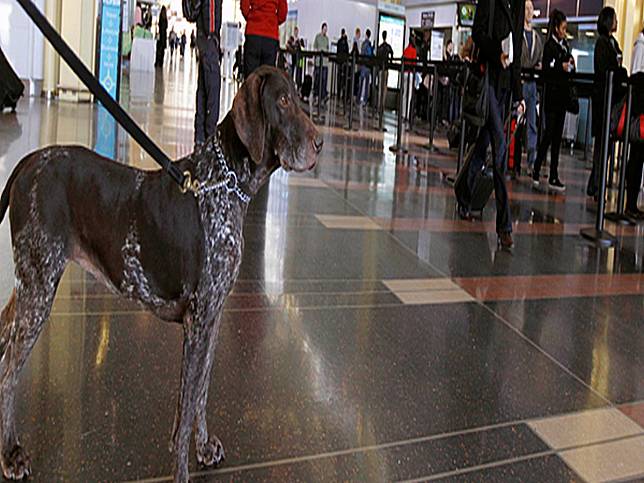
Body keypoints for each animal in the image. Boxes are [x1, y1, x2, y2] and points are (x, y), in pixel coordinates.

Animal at [0, 66, 322, 482]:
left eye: (299, 97)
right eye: (282, 101)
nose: (320, 143)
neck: (223, 181)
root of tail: (27, 164)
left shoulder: (212, 319)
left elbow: (200, 394)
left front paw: (204, 447)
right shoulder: (198, 323)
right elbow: (184, 414)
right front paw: (182, 470)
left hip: (28, 286)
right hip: (39, 288)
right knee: (8, 372)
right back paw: (10, 453)